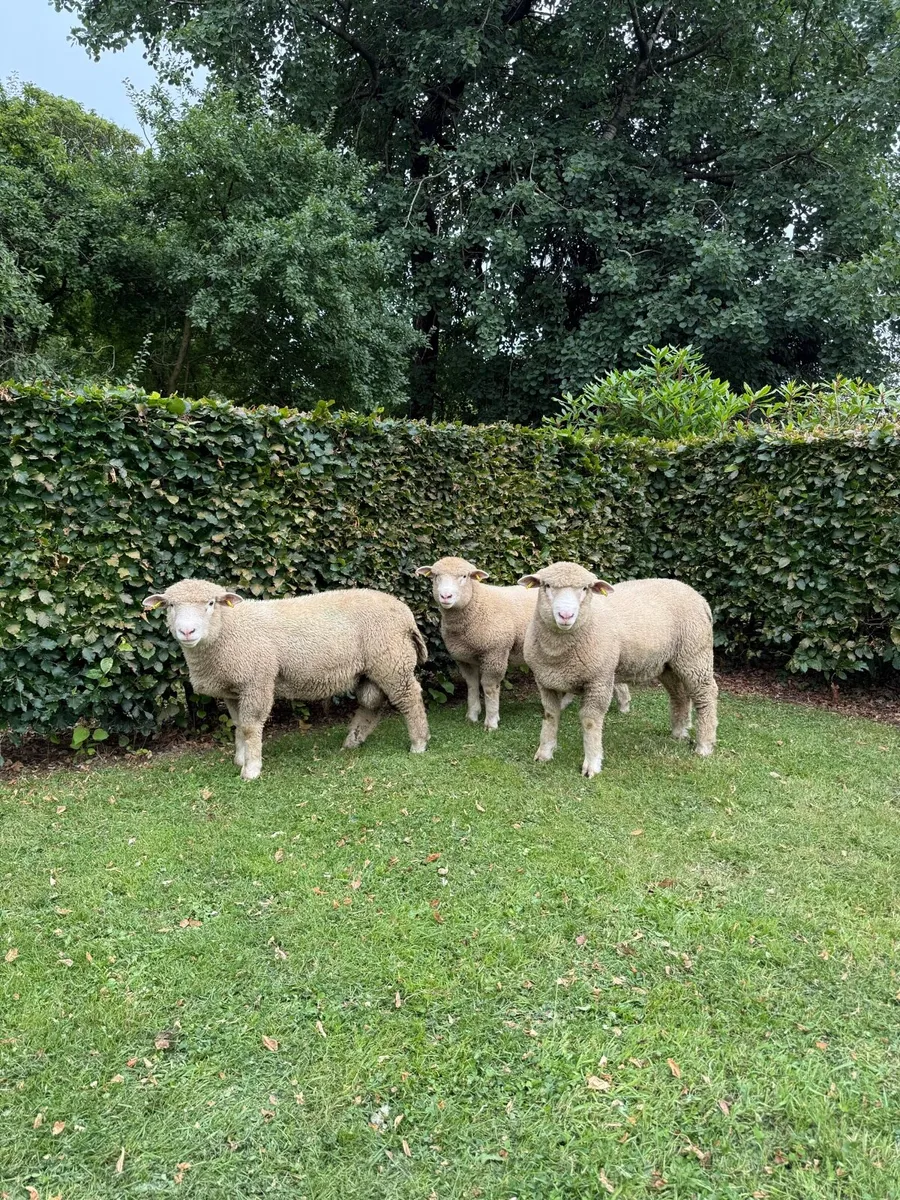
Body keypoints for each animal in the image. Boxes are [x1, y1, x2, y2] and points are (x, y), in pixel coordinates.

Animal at [142, 578, 430, 780]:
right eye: (170, 605)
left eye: (211, 603)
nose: (187, 631)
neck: (228, 629)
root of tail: (403, 610)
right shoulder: (233, 688)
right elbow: (238, 725)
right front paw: (241, 758)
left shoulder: (256, 680)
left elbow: (250, 727)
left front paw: (251, 769)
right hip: (371, 668)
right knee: (371, 703)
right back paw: (353, 741)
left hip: (392, 661)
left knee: (410, 698)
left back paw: (419, 742)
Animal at [416, 556, 630, 729]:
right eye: (435, 576)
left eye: (465, 576)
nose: (446, 596)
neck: (477, 604)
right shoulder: (464, 658)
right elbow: (472, 685)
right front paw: (472, 715)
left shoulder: (495, 652)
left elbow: (489, 687)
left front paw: (491, 721)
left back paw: (624, 706)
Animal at [518, 562, 717, 777]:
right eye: (546, 585)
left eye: (585, 588)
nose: (565, 615)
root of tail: (699, 597)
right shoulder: (545, 681)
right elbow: (550, 715)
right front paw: (544, 753)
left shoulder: (599, 680)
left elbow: (590, 721)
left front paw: (592, 764)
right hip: (668, 664)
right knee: (679, 695)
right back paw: (679, 733)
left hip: (695, 655)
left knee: (706, 695)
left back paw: (704, 745)